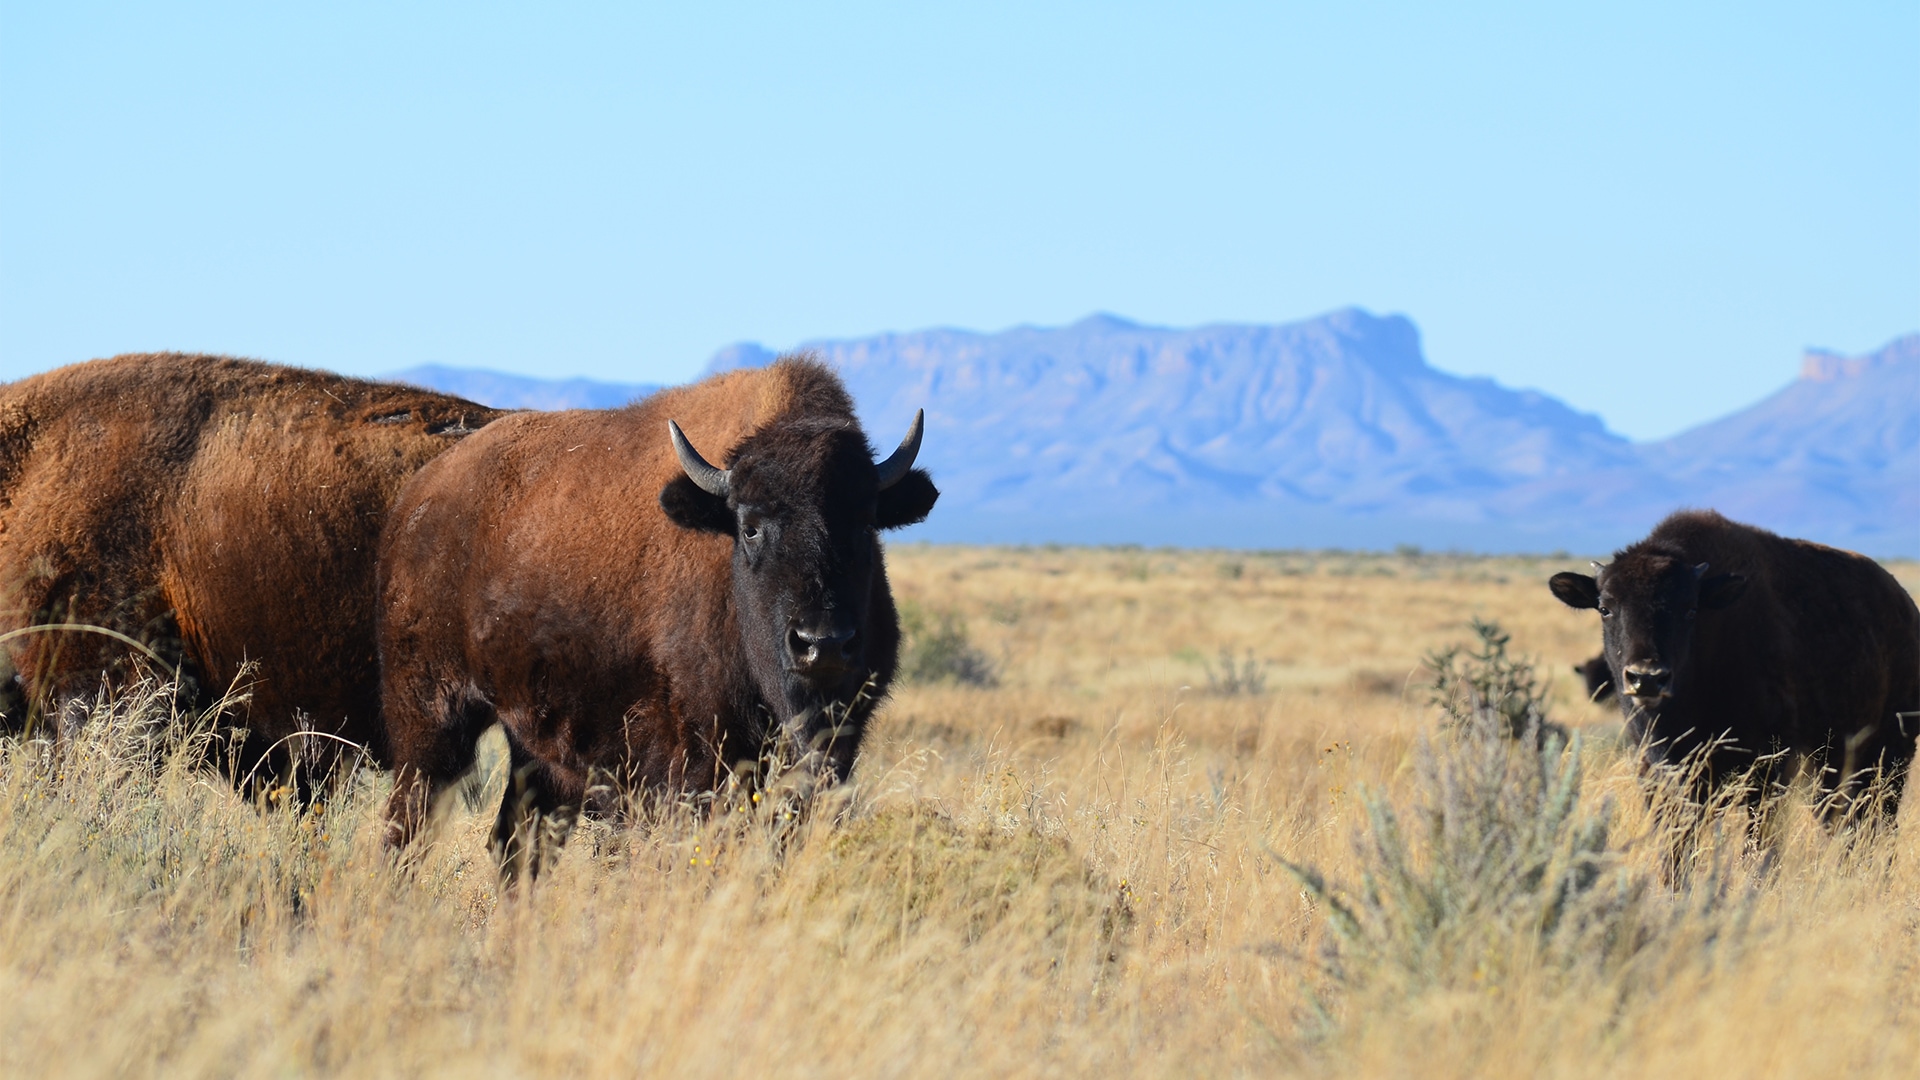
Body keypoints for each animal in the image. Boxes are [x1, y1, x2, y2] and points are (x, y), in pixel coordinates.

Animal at [377, 356, 938, 873]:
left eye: (865, 524)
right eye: (750, 527)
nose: (822, 644)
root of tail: (415, 500)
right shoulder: (697, 761)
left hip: (533, 747)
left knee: (517, 843)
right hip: (430, 721)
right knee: (407, 829)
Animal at [1550, 510, 1919, 822]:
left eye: (1690, 609)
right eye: (1605, 608)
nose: (1647, 678)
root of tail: (1907, 606)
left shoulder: (1766, 771)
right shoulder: (1659, 774)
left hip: (1891, 754)